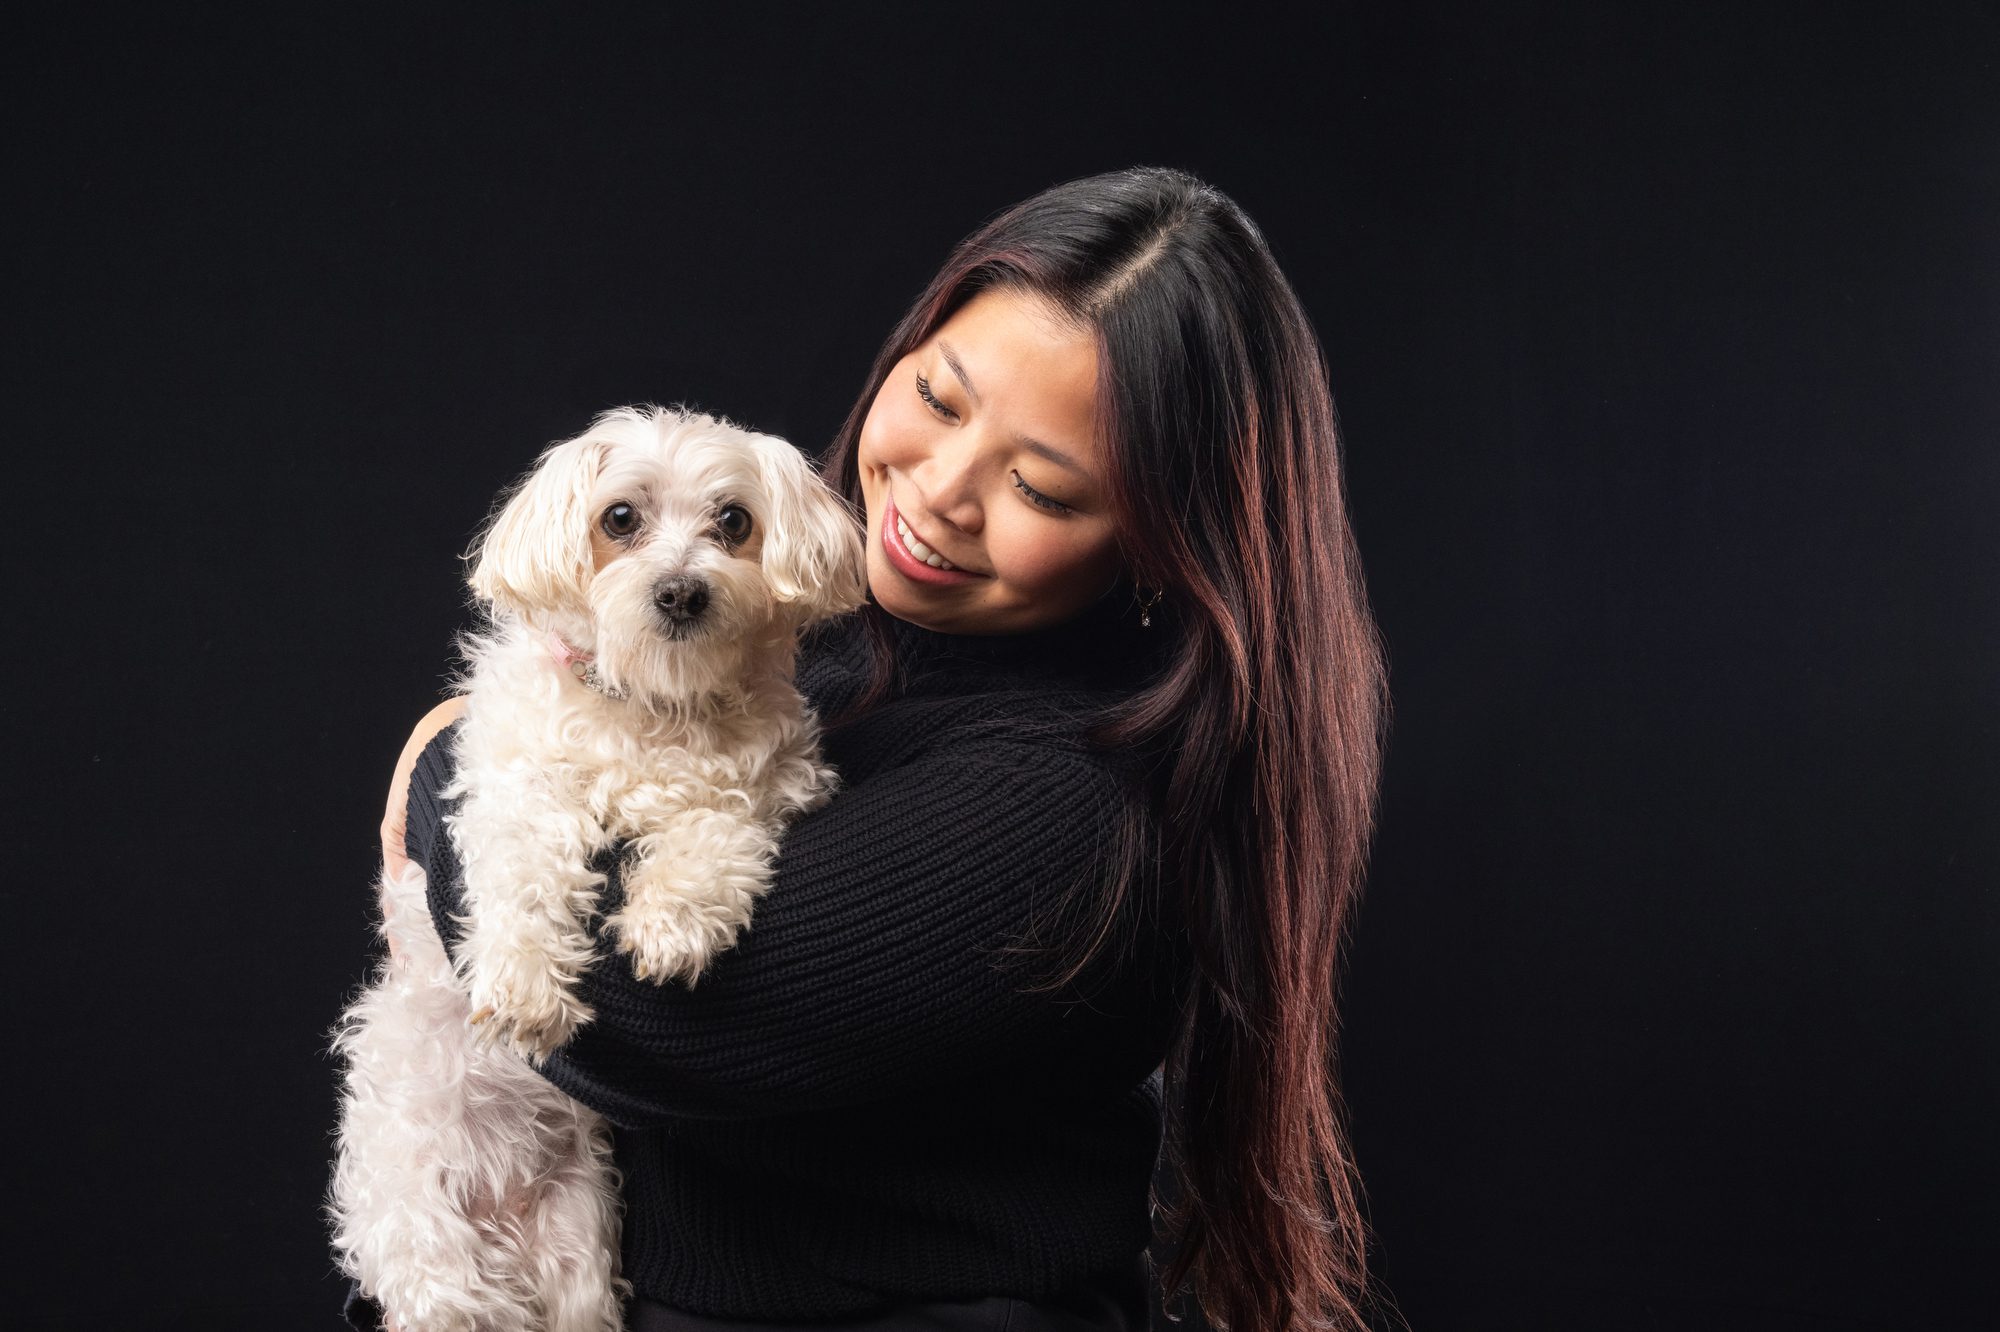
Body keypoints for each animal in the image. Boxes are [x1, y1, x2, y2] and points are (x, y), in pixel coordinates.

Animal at [326, 404, 868, 1328]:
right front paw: (525, 986)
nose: (682, 590)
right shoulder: (512, 786)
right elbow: (523, 872)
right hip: (425, 1235)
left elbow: (717, 831)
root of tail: (499, 1197)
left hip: (577, 1244)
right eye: (620, 518)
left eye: (735, 522)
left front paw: (672, 922)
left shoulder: (766, 788)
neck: (653, 704)